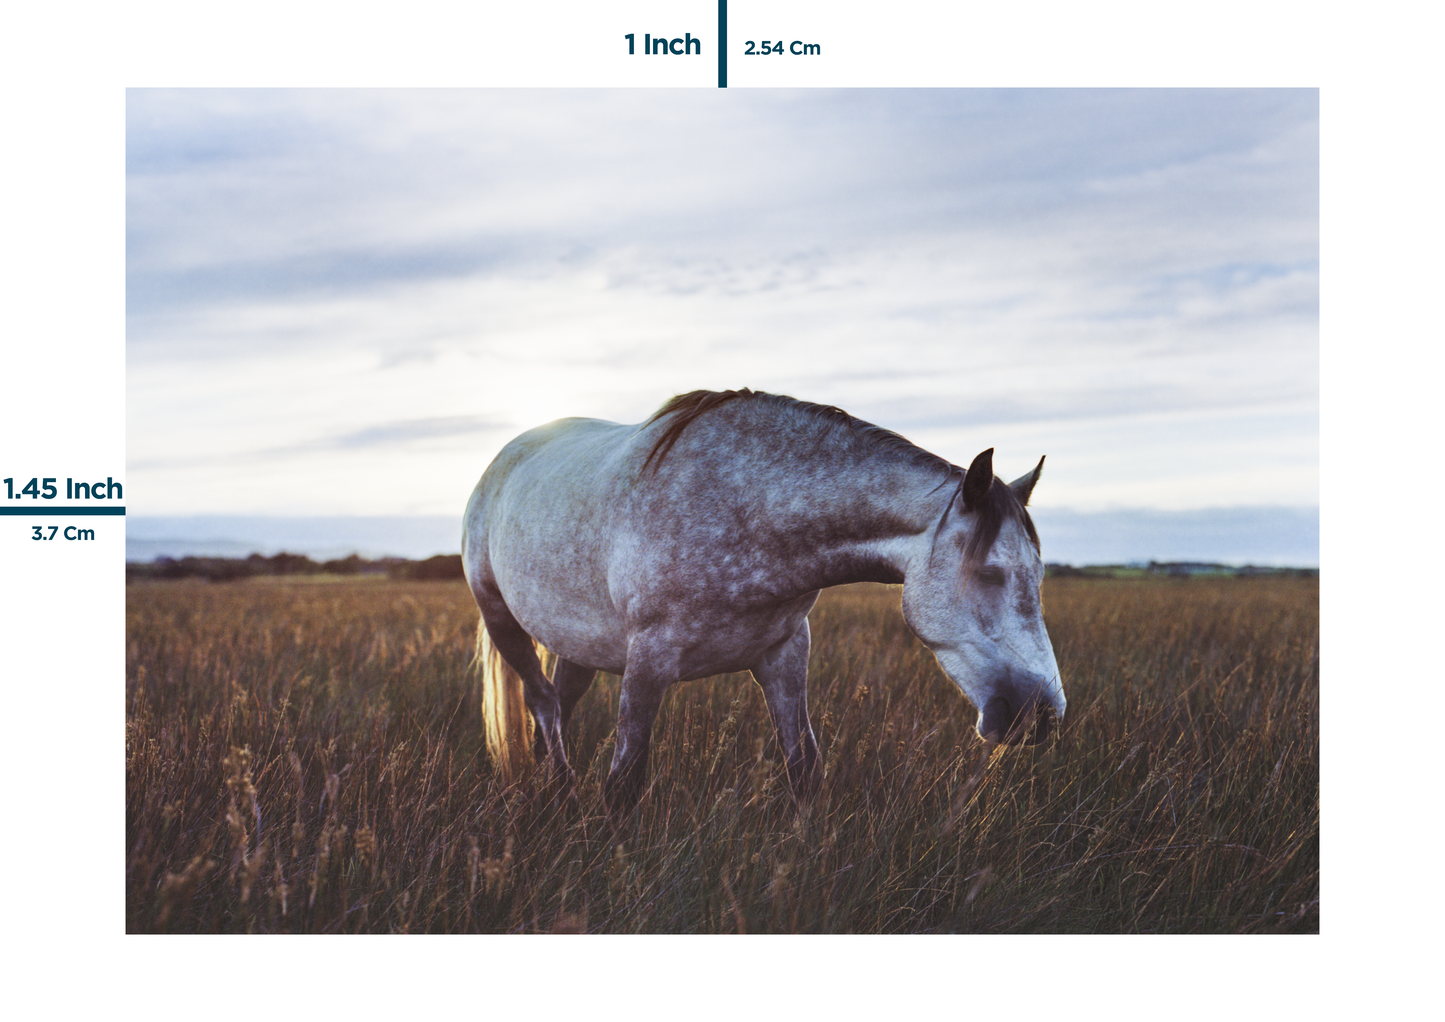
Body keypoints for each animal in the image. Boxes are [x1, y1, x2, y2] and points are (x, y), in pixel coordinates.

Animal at [459, 387, 1063, 809]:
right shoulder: (649, 660)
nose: (1042, 715)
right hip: (500, 618)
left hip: (580, 645)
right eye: (989, 572)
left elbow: (805, 771)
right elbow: (623, 786)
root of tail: (501, 461)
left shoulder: (784, 653)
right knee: (541, 701)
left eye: (1037, 575)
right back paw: (561, 792)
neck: (746, 512)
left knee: (558, 705)